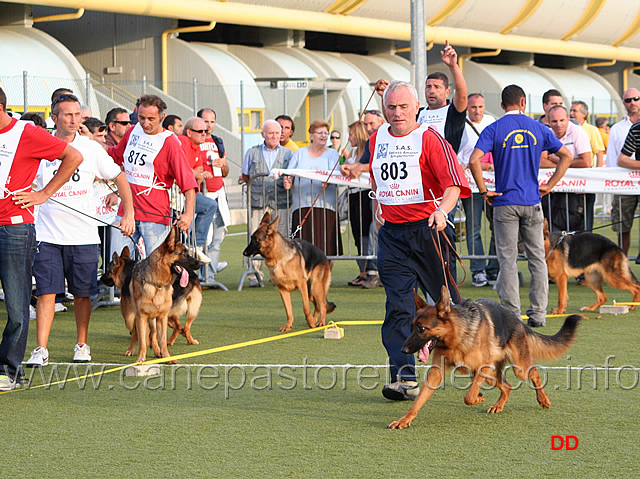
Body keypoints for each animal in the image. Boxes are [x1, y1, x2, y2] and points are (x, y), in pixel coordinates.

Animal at [101, 231, 201, 362]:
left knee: (177, 327)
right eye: (184, 253)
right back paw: (187, 340)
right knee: (184, 326)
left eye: (107, 270)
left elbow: (141, 335)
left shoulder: (148, 317)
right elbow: (147, 337)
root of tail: (192, 278)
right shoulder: (145, 316)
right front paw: (149, 354)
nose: (100, 278)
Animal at [388, 286, 584, 430]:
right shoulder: (437, 374)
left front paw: (478, 398)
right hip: (490, 374)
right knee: (507, 386)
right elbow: (419, 401)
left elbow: (468, 397)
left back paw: (543, 399)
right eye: (412, 327)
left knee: (533, 375)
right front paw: (404, 420)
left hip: (518, 368)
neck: (457, 337)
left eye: (421, 328)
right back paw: (499, 405)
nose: (403, 349)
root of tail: (517, 319)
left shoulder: (481, 367)